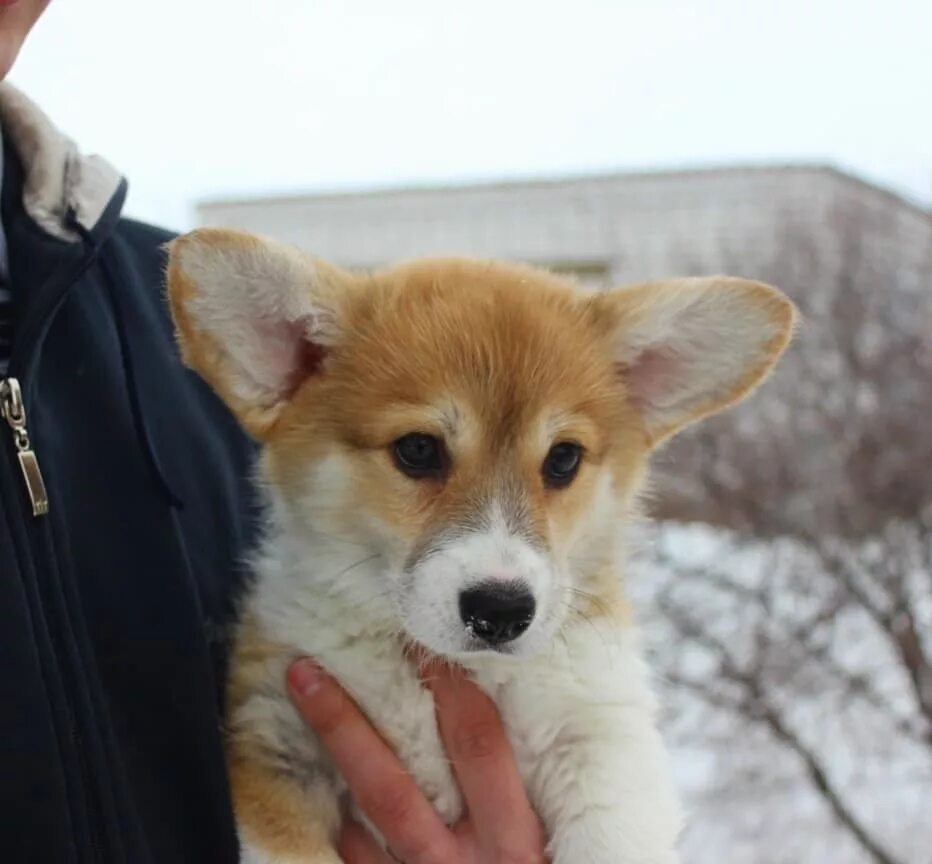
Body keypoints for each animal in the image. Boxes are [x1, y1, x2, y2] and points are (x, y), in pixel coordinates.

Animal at [167, 231, 792, 864]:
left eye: (563, 458)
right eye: (418, 449)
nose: (501, 612)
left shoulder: (599, 736)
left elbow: (609, 832)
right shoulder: (276, 738)